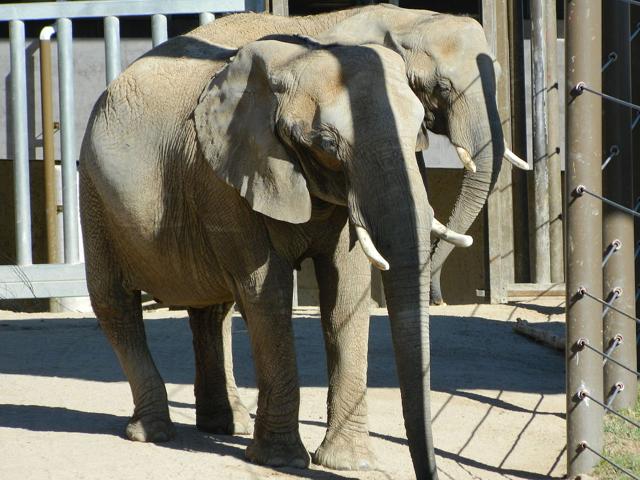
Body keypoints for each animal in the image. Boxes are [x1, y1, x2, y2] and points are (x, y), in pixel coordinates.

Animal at [80, 32, 456, 476]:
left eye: (419, 131)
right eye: (327, 145)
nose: (429, 472)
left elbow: (346, 290)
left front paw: (350, 464)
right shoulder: (224, 181)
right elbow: (267, 293)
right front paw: (284, 461)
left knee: (212, 309)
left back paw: (228, 425)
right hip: (94, 193)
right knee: (115, 305)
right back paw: (153, 431)